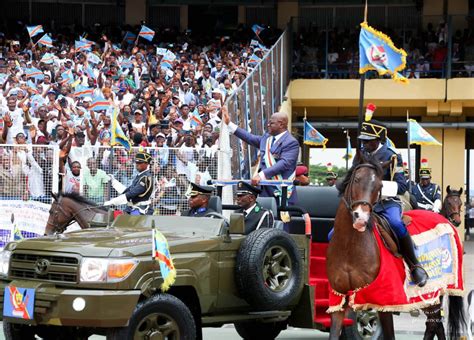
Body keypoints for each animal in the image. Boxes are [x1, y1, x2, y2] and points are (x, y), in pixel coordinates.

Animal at [326, 154, 466, 340]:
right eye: (356, 179)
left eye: (379, 186)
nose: (361, 217)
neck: (350, 247)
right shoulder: (339, 300)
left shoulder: (384, 301)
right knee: (433, 325)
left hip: (434, 292)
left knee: (435, 324)